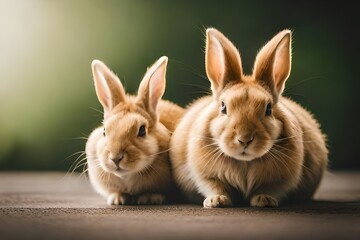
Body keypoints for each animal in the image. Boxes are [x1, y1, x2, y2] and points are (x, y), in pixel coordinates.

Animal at [170, 28, 328, 208]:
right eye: (223, 107)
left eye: (268, 109)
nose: (245, 138)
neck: (245, 162)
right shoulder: (203, 175)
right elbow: (214, 185)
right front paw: (217, 200)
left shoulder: (283, 180)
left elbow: (272, 189)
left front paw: (264, 200)